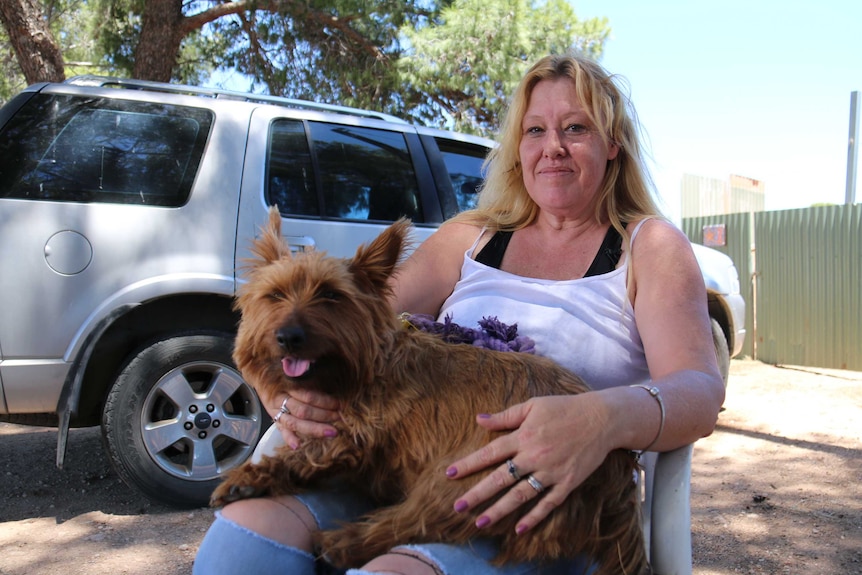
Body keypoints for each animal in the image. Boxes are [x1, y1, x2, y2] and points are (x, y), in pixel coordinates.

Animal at [213, 210, 648, 575]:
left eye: (331, 295)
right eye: (275, 295)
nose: (289, 337)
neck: (364, 366)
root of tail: (618, 479)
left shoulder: (359, 432)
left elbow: (310, 452)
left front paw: (250, 474)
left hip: (467, 476)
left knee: (416, 520)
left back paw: (343, 542)